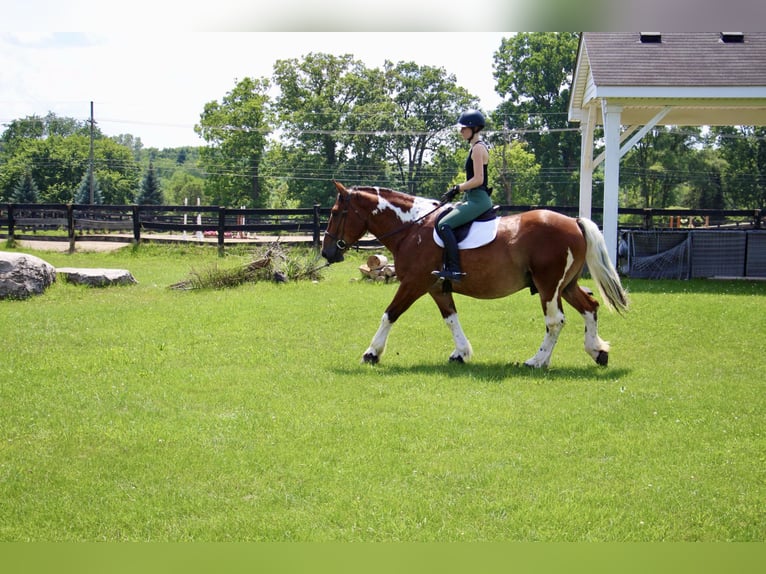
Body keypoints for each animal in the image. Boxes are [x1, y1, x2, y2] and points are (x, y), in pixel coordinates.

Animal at [320, 182, 628, 368]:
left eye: (335, 212)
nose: (326, 252)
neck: (412, 227)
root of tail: (574, 222)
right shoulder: (436, 287)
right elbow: (451, 319)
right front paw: (461, 353)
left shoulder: (414, 283)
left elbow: (389, 314)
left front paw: (371, 353)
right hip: (567, 285)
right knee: (590, 307)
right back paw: (598, 351)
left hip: (548, 286)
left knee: (555, 321)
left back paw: (537, 361)